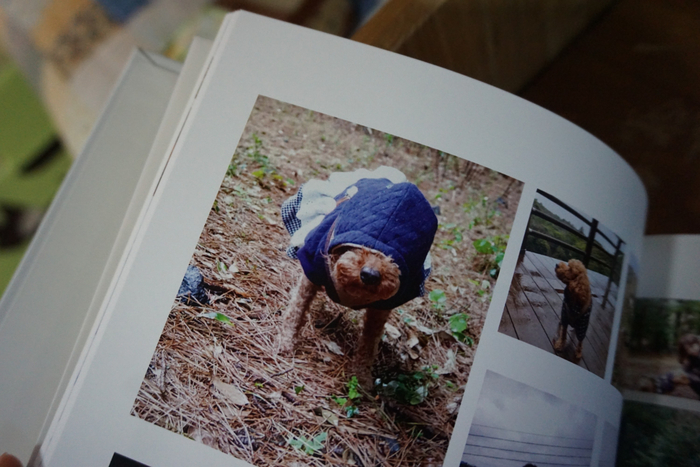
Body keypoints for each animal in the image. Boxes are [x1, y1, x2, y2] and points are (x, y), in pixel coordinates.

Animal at [278, 167, 438, 388]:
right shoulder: (311, 268)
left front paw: (362, 378)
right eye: (358, 247)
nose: (370, 275)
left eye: (394, 258)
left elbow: (369, 343)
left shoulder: (383, 308)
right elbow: (297, 308)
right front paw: (287, 341)